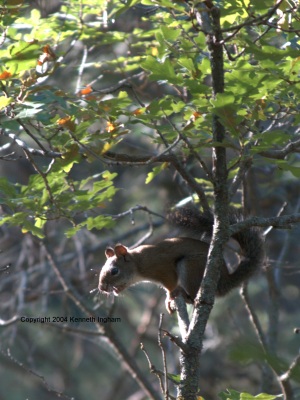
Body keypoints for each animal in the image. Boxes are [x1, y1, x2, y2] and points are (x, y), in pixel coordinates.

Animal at [97, 206, 264, 312]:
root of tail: (224, 282)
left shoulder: (162, 268)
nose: (102, 288)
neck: (138, 263)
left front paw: (170, 298)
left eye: (114, 271)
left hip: (190, 266)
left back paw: (185, 295)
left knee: (193, 295)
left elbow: (170, 285)